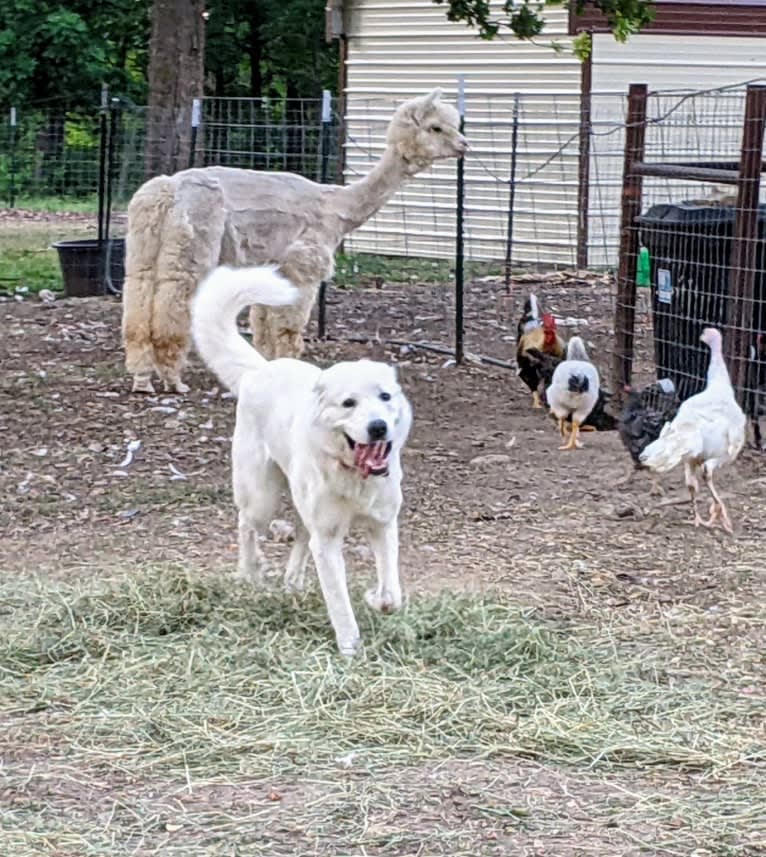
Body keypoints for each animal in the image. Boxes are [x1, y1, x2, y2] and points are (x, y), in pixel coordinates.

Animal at [192, 264, 414, 652]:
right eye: (348, 403)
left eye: (385, 397)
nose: (378, 427)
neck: (353, 477)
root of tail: (259, 371)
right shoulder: (327, 541)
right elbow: (339, 602)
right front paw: (350, 648)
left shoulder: (383, 525)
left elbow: (392, 593)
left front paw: (376, 599)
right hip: (262, 499)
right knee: (247, 525)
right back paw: (250, 571)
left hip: (299, 504)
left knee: (298, 536)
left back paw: (292, 581)